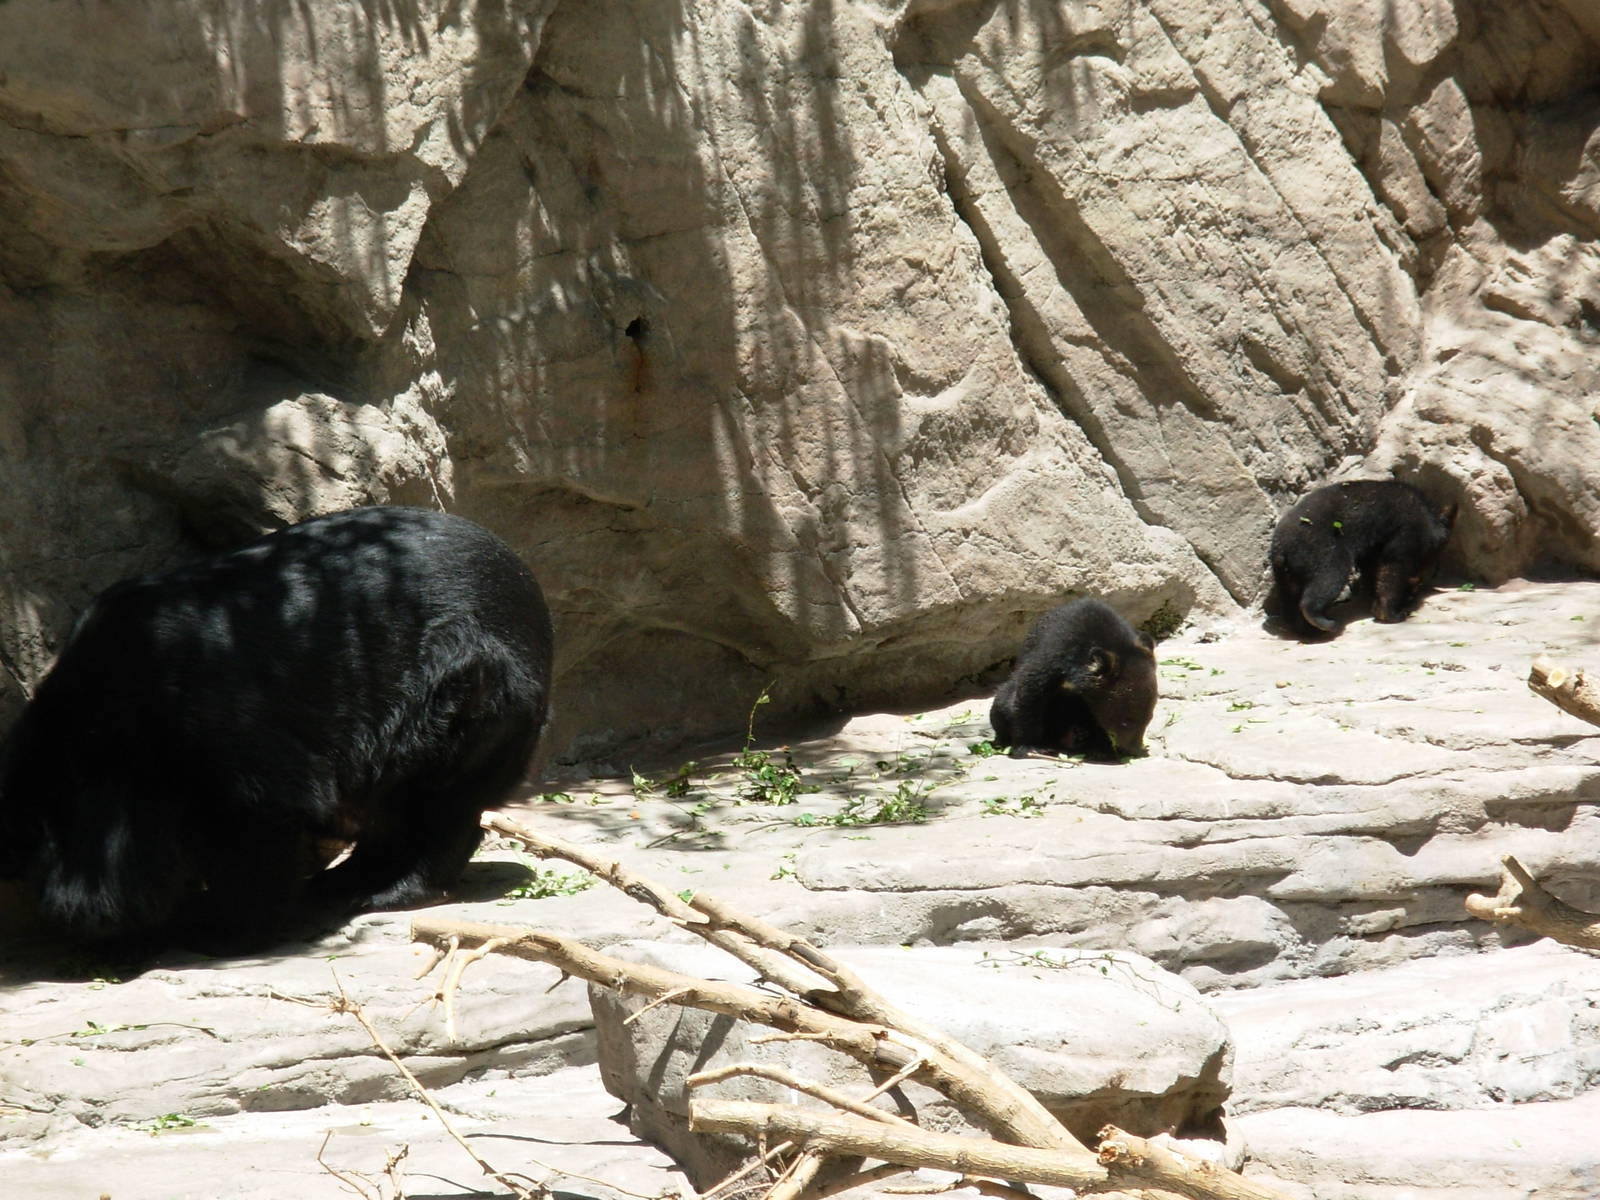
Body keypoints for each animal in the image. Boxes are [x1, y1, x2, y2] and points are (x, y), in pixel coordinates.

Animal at [0, 506, 553, 950]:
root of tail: (526, 578)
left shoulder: (225, 725)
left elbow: (259, 821)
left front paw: (215, 930)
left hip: (470, 683)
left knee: (439, 797)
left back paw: (386, 889)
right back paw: (344, 881)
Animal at [989, 598, 1158, 760]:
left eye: (1149, 718)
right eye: (1125, 721)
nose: (1135, 750)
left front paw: (1101, 750)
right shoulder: (1052, 656)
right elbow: (1030, 692)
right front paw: (1029, 748)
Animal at [1269, 479, 1456, 637]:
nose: (1413, 595)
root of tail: (1281, 547)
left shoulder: (1373, 547)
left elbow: (1374, 568)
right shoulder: (1407, 530)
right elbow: (1394, 567)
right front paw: (1392, 613)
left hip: (1285, 572)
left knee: (1289, 595)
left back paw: (1306, 630)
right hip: (1320, 547)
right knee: (1329, 577)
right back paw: (1325, 622)